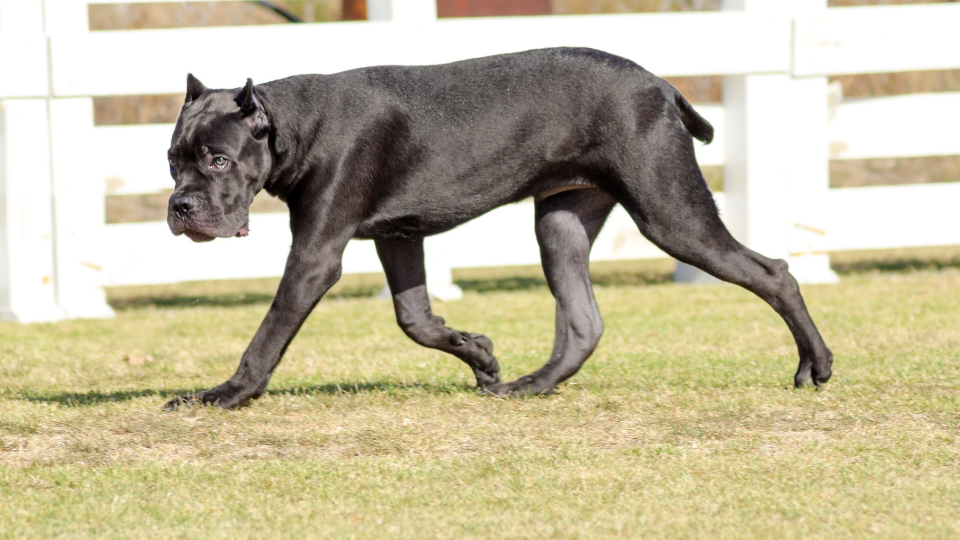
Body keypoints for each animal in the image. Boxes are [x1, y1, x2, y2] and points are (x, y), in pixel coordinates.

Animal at [165, 47, 832, 410]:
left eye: (218, 160)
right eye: (172, 160)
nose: (180, 207)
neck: (291, 127)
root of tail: (664, 88)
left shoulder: (315, 254)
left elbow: (269, 333)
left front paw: (227, 393)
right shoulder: (398, 237)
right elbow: (415, 318)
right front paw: (480, 355)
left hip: (668, 212)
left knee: (775, 272)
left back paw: (816, 366)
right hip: (561, 222)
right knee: (583, 322)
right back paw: (529, 386)